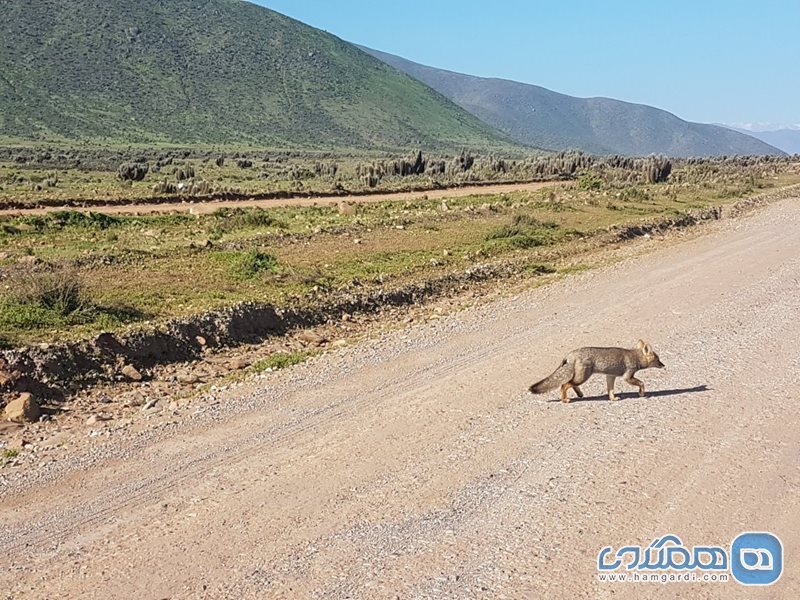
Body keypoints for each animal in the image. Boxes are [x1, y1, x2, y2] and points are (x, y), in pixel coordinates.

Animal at [528, 342, 664, 404]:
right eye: (658, 359)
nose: (664, 365)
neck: (635, 356)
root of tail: (571, 353)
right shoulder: (627, 376)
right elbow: (642, 383)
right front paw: (642, 393)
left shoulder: (610, 376)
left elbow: (610, 390)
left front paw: (613, 399)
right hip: (583, 377)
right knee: (564, 385)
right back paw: (564, 400)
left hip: (580, 377)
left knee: (570, 384)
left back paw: (580, 394)